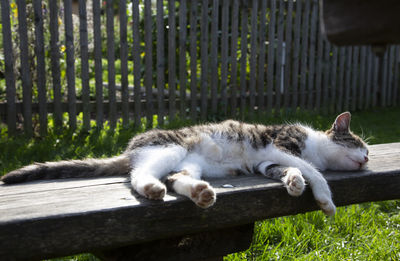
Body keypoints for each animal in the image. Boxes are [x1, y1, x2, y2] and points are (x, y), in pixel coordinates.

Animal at [0, 111, 368, 215]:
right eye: (359, 144)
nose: (367, 159)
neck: (314, 146)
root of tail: (131, 147)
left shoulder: (266, 162)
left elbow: (286, 170)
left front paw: (294, 182)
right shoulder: (281, 144)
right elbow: (313, 170)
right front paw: (324, 198)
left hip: (191, 164)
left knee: (177, 178)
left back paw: (200, 193)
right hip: (170, 149)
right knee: (139, 175)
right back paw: (151, 187)